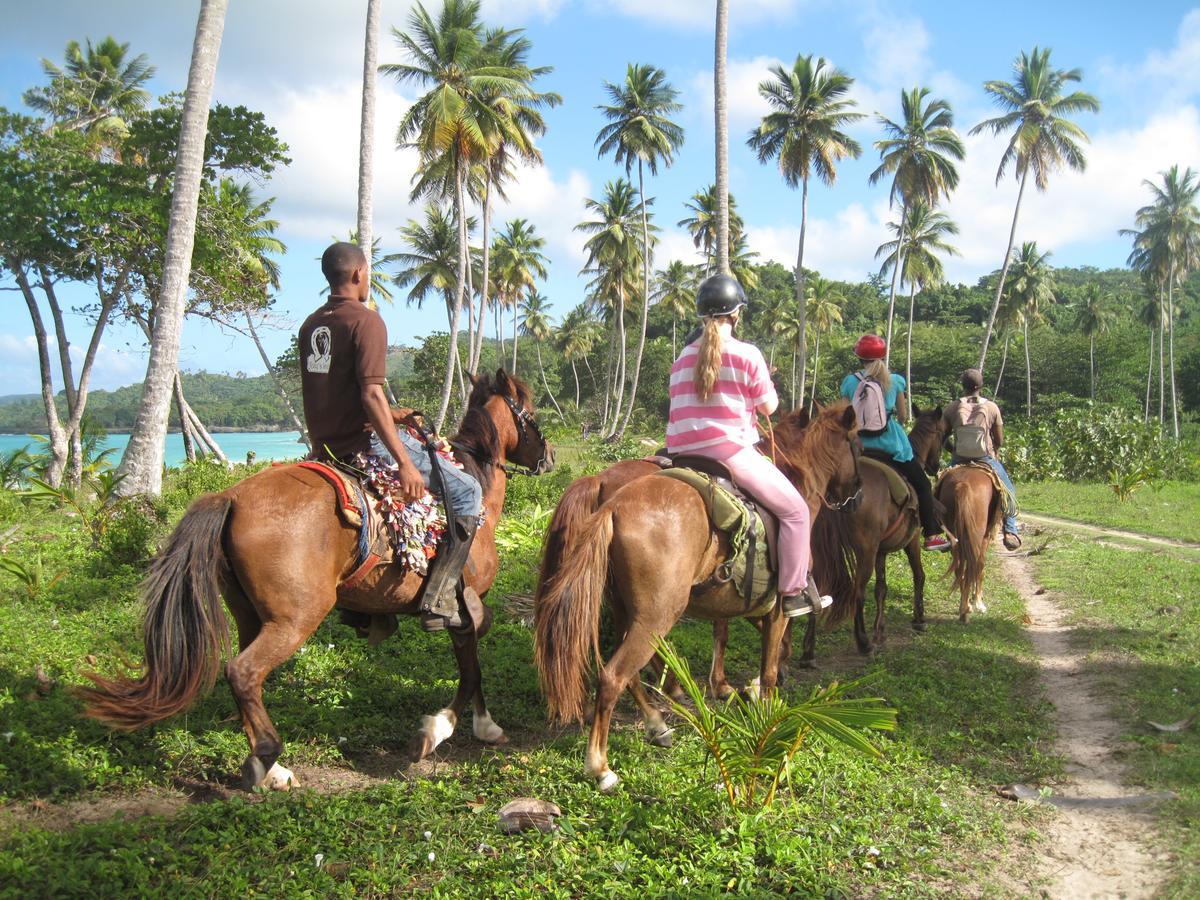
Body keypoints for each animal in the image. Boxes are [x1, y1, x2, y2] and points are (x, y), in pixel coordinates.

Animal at [82, 369, 549, 792]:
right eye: (531, 412)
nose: (549, 458)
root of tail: (230, 497)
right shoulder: (464, 603)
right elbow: (471, 669)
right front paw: (444, 730)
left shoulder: (465, 609)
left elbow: (473, 664)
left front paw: (477, 725)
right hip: (296, 618)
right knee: (242, 672)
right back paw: (266, 756)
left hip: (251, 614)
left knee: (245, 680)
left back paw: (271, 768)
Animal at [530, 405, 859, 792]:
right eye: (857, 443)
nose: (857, 492)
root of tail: (611, 502)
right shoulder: (775, 605)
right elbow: (771, 659)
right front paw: (759, 704)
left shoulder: (733, 595)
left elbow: (726, 632)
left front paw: (728, 687)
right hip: (658, 614)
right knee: (614, 674)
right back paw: (602, 766)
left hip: (628, 608)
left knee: (630, 671)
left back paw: (658, 722)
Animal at [936, 460, 1003, 624]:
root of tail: (962, 485)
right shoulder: (985, 539)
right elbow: (980, 567)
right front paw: (978, 602)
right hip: (976, 536)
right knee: (972, 566)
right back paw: (966, 610)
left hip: (954, 535)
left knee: (959, 566)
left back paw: (964, 609)